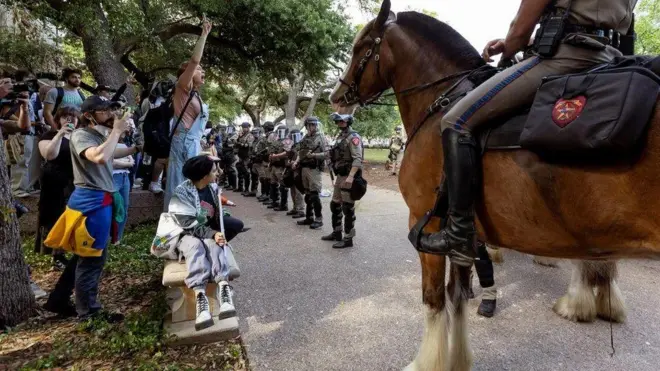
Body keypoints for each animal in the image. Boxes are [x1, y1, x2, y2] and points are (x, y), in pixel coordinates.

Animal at [330, 1, 660, 370]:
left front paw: (429, 361)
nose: (336, 97)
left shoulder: (427, 223)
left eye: (361, 47)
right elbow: (457, 297)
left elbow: (434, 301)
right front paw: (456, 358)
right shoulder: (462, 237)